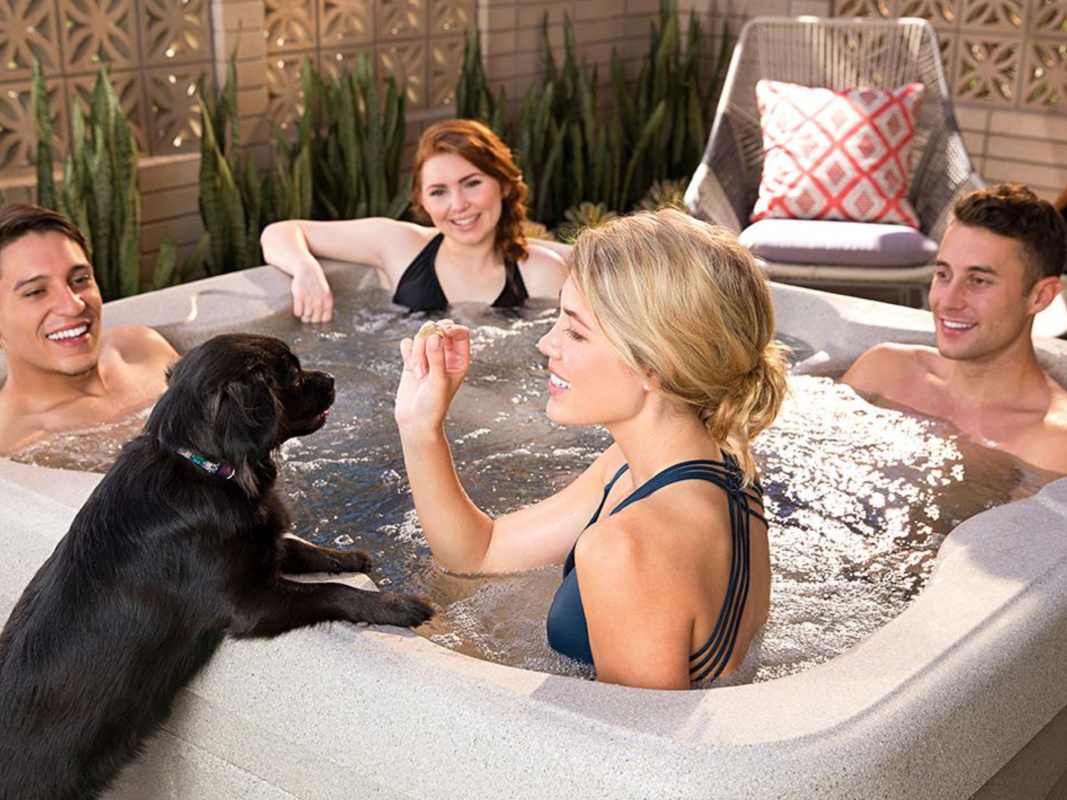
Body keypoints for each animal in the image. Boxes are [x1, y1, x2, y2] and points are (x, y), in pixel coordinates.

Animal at [1, 332, 433, 800]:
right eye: (292, 373)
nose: (332, 379)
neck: (205, 469)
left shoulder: (259, 548)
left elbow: (298, 548)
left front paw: (350, 557)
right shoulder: (250, 603)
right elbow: (332, 591)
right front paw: (398, 605)